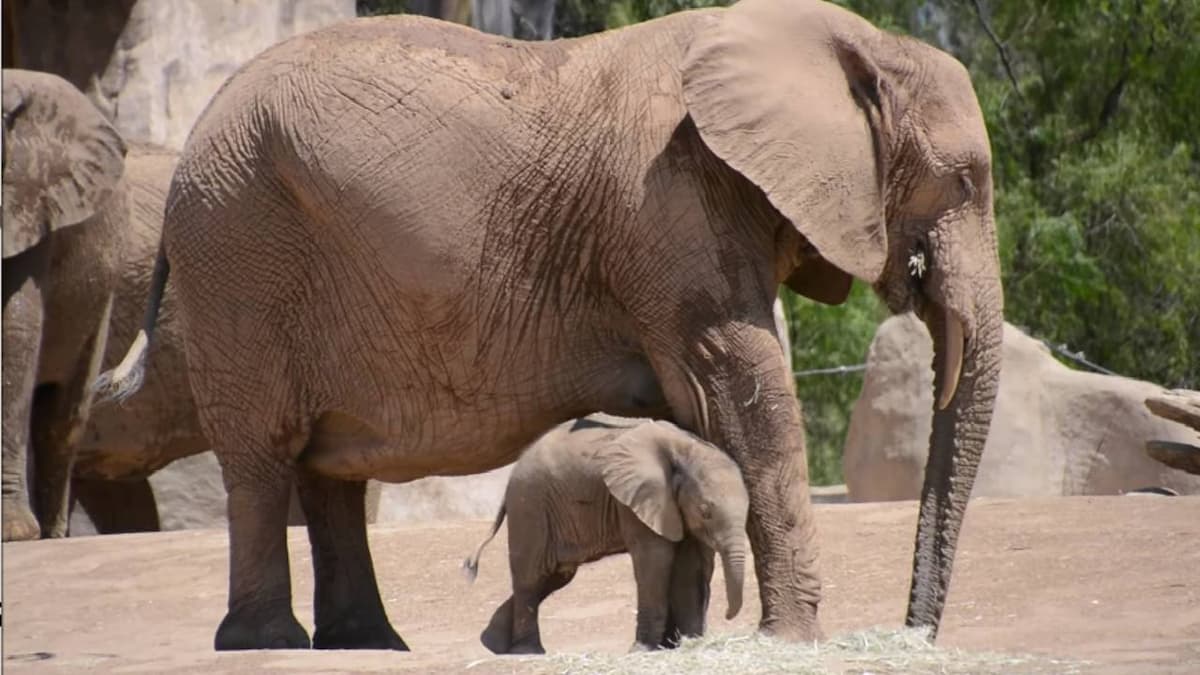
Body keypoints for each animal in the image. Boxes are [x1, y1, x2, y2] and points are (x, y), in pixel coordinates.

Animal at [463, 410, 744, 653]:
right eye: (705, 511)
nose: (728, 615)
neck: (686, 449)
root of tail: (513, 472)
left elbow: (689, 565)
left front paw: (690, 642)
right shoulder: (637, 501)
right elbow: (655, 559)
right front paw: (643, 650)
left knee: (555, 576)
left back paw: (494, 644)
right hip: (530, 505)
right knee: (530, 578)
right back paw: (527, 652)